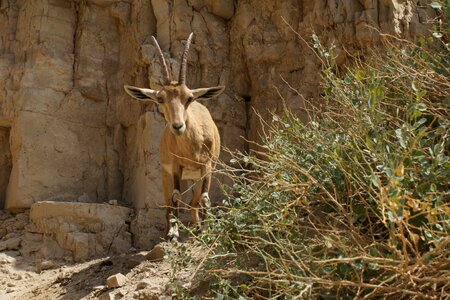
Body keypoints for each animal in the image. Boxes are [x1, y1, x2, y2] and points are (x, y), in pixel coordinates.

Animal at [123, 32, 223, 240]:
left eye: (189, 98)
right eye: (160, 98)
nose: (178, 126)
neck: (192, 147)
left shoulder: (207, 165)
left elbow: (205, 197)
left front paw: (206, 230)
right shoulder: (176, 167)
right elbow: (176, 196)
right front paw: (173, 234)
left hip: (196, 176)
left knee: (194, 202)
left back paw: (197, 227)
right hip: (167, 175)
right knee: (170, 203)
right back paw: (170, 229)